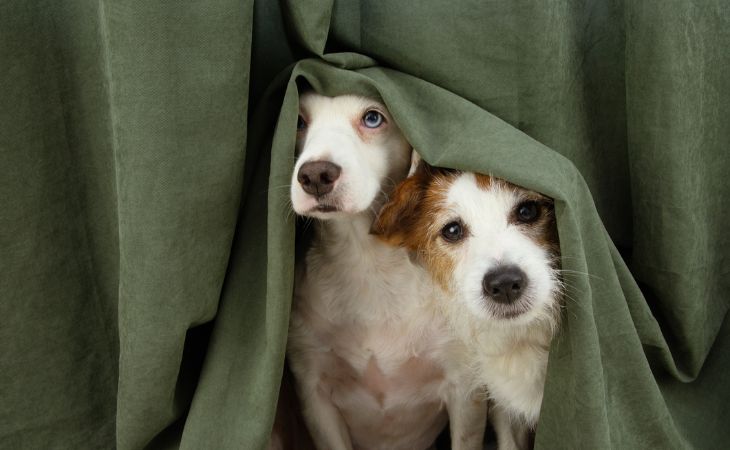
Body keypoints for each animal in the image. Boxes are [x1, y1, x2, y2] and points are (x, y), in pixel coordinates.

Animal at [284, 92, 484, 450]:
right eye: (298, 119)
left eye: (373, 118)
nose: (315, 175)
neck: (368, 264)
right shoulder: (314, 393)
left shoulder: (465, 389)